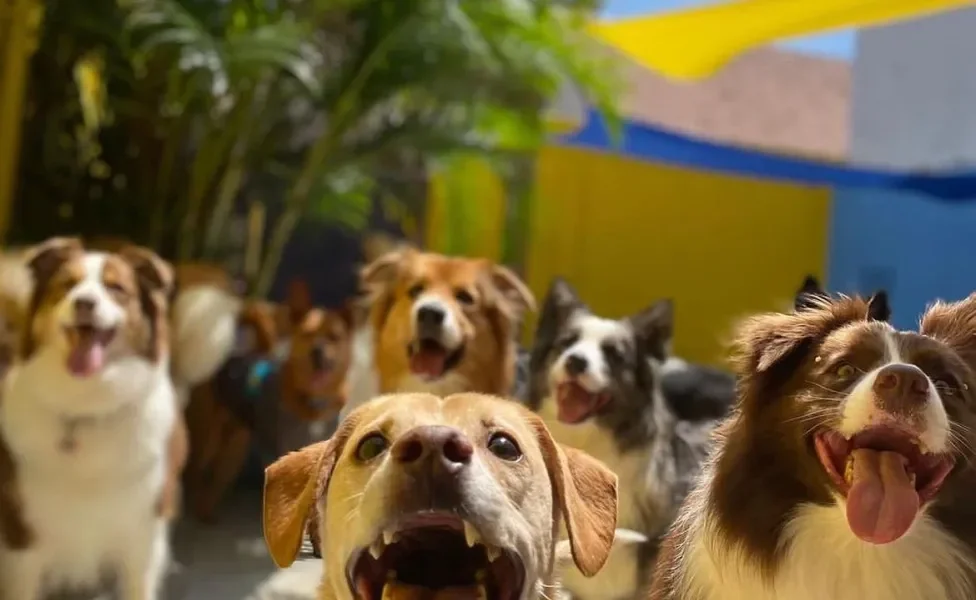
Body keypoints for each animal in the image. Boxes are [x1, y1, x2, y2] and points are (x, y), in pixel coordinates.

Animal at [0, 237, 187, 596]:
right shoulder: (22, 540)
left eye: (116, 288)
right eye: (67, 285)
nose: (84, 303)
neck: (86, 407)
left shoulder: (143, 539)